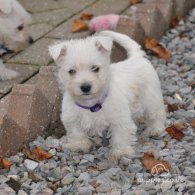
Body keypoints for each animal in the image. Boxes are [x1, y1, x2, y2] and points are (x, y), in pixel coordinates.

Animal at [49, 30, 166, 160]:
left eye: (95, 68)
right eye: (71, 71)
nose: (85, 87)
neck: (91, 104)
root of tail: (137, 57)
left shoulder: (120, 119)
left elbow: (120, 135)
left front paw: (121, 152)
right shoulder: (71, 118)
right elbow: (76, 133)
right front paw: (79, 145)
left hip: (152, 99)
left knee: (157, 114)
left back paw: (155, 129)